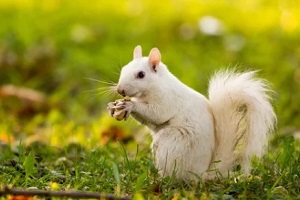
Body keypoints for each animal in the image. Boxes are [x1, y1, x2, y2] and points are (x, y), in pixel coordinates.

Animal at [107, 45, 276, 181]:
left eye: (141, 74)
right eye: (124, 69)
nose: (120, 90)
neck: (156, 84)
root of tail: (200, 173)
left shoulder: (167, 99)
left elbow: (157, 113)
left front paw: (130, 105)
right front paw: (114, 106)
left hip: (171, 143)